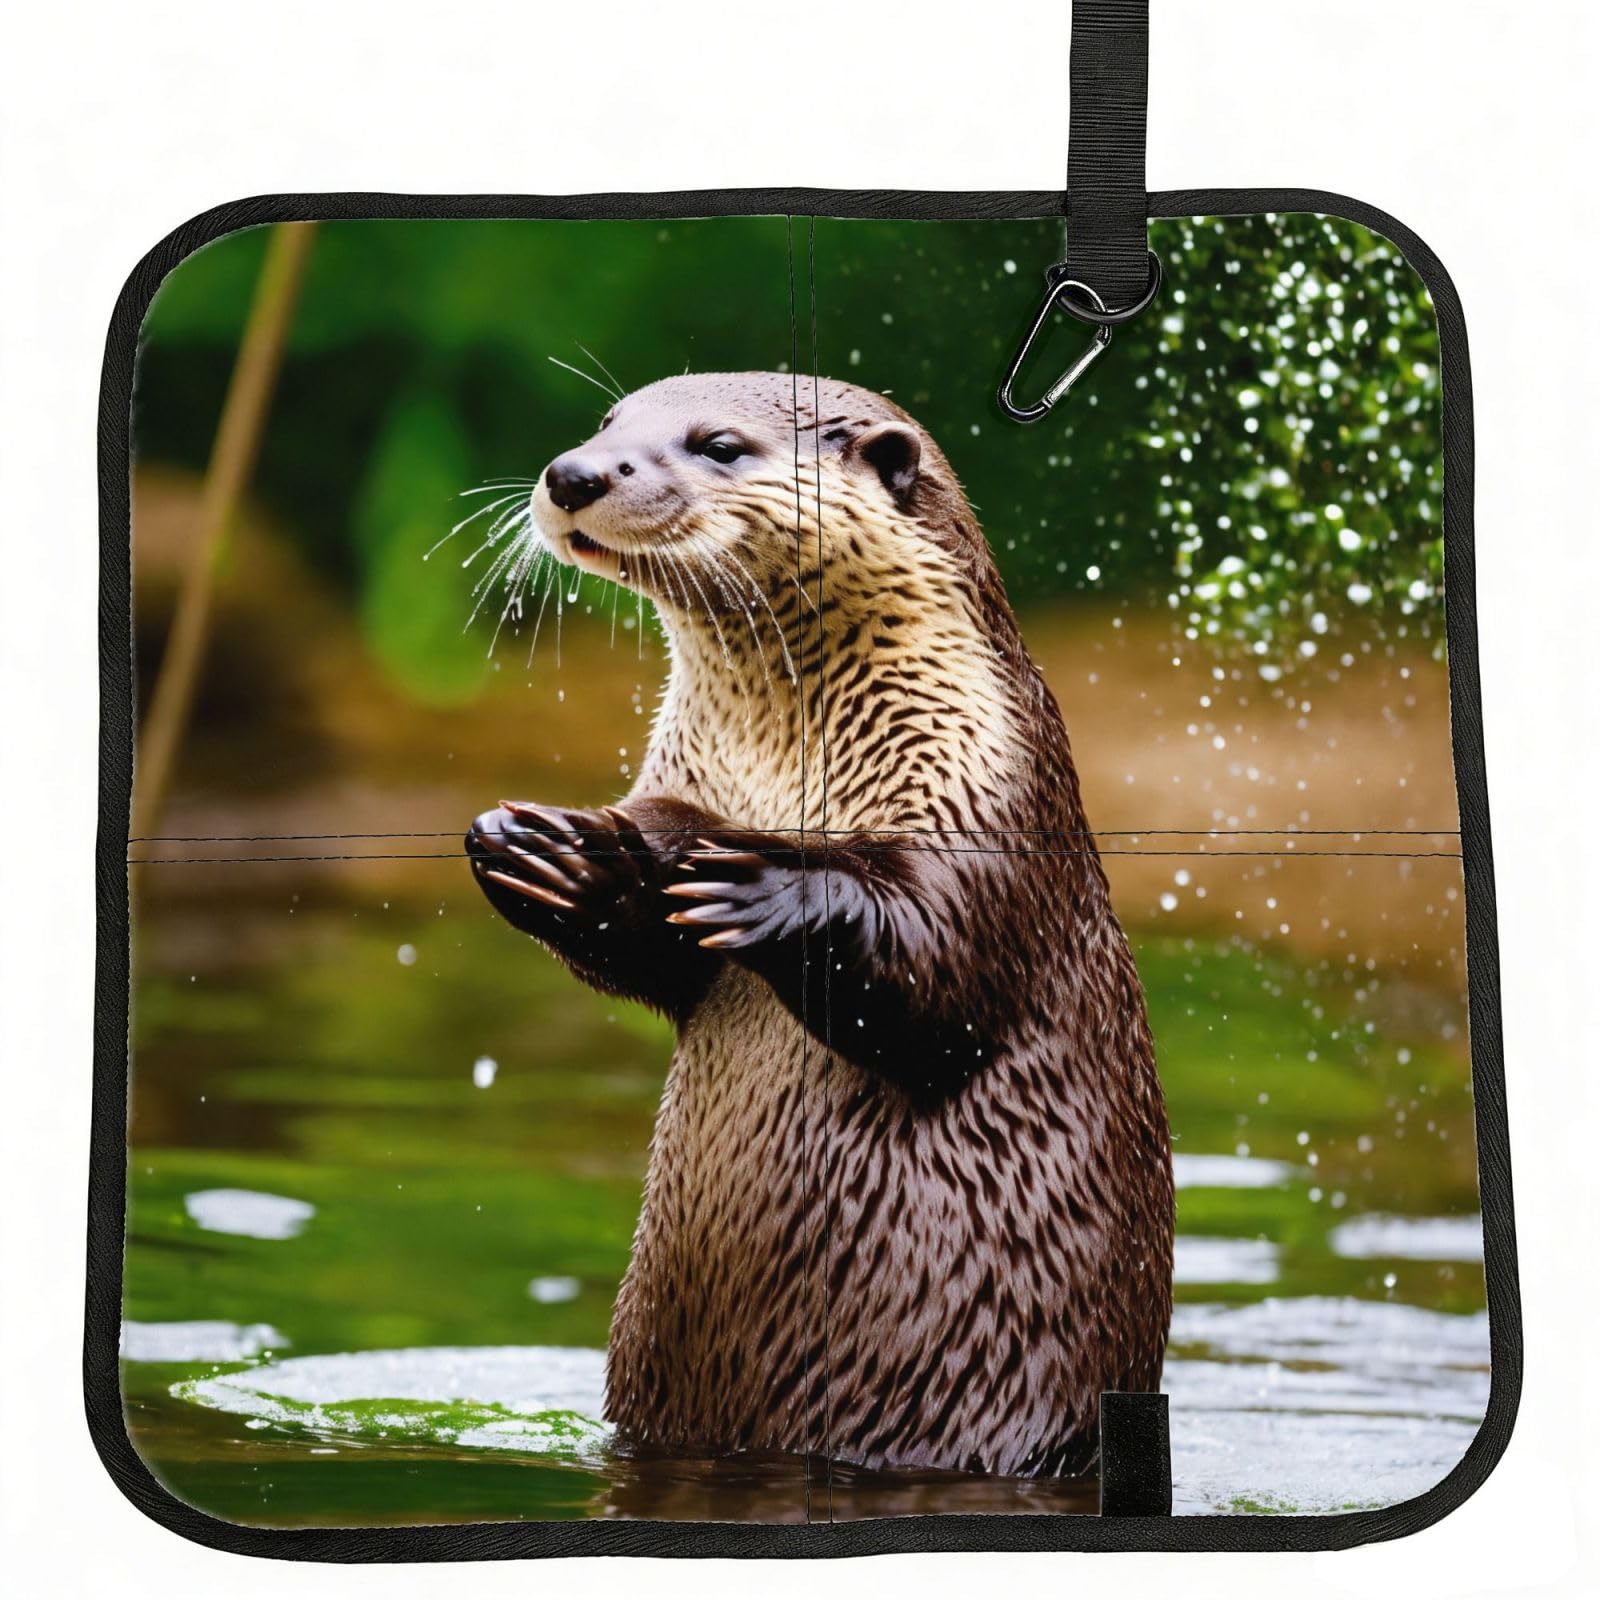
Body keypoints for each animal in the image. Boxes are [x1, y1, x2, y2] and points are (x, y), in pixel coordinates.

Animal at [466, 373, 1173, 1478]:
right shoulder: (683, 784)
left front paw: (761, 887)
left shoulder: (984, 798)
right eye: (606, 423)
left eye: (717, 444)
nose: (574, 474)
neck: (779, 776)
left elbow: (933, 973)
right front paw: (547, 850)